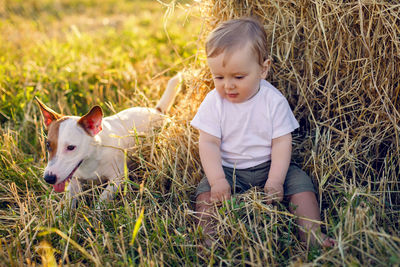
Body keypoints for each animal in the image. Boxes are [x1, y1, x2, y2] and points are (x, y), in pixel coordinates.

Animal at [35, 74, 182, 209]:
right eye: (47, 145)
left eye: (71, 147)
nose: (48, 178)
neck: (91, 158)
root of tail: (157, 111)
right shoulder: (75, 180)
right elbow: (68, 201)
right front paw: (64, 214)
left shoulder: (117, 178)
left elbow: (103, 199)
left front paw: (96, 213)